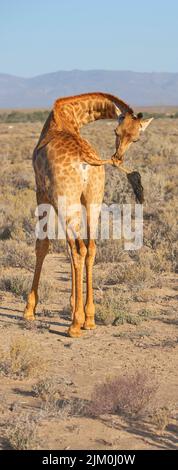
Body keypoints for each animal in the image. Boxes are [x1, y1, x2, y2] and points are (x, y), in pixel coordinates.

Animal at [23, 92, 153, 336]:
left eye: (136, 139)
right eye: (117, 132)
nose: (118, 158)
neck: (67, 116)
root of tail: (86, 160)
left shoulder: (41, 192)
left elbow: (43, 246)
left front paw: (29, 309)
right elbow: (71, 246)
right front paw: (73, 303)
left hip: (67, 200)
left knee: (78, 249)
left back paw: (75, 325)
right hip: (93, 199)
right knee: (90, 247)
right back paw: (89, 318)